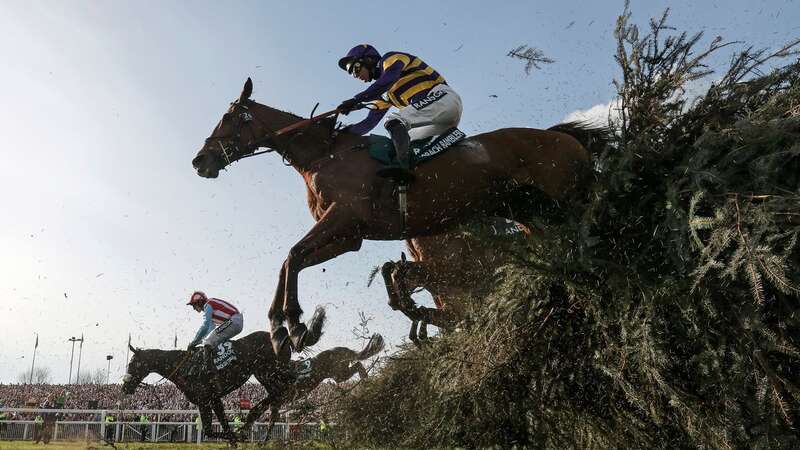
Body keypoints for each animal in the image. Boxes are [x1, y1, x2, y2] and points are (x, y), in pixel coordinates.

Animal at [122, 308, 324, 444]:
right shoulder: (211, 399)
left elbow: (212, 430)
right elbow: (218, 427)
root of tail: (284, 338)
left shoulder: (205, 399)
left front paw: (236, 435)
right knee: (278, 396)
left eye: (132, 364)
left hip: (268, 371)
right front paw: (234, 437)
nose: (125, 386)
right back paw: (259, 430)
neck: (183, 367)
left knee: (284, 390)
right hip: (267, 375)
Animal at [194, 78, 608, 356]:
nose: (200, 161)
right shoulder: (349, 236)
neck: (324, 155)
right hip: (531, 213)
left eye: (229, 118)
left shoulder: (343, 218)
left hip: (565, 201)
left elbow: (293, 256)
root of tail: (564, 136)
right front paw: (284, 331)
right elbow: (288, 262)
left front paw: (295, 327)